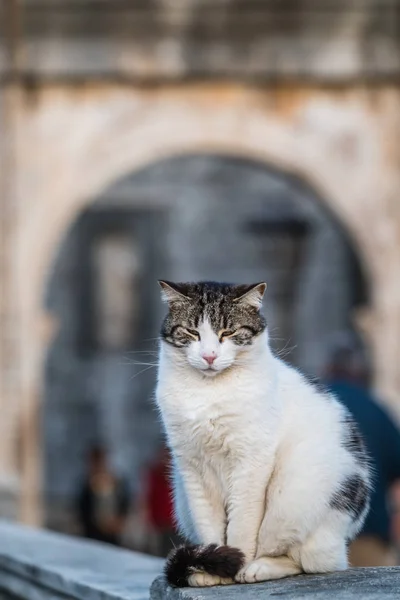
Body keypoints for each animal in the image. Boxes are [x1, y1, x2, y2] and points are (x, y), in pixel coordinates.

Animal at [155, 280, 372, 584]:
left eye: (228, 333)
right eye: (191, 332)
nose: (209, 356)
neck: (208, 393)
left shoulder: (251, 463)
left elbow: (242, 524)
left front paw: (235, 566)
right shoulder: (192, 468)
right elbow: (209, 523)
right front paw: (213, 566)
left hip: (294, 497)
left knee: (310, 561)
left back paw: (259, 568)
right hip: (182, 499)